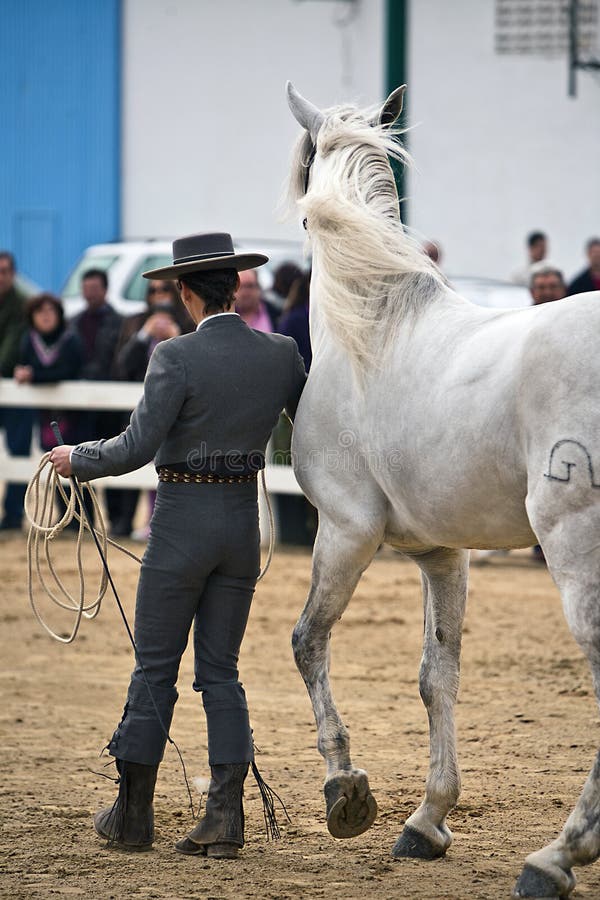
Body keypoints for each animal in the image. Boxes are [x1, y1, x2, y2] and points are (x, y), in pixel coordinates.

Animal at [285, 81, 600, 900]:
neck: (372, 324)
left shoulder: (345, 532)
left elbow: (308, 641)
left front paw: (346, 792)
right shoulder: (441, 555)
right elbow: (438, 678)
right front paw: (427, 821)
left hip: (573, 549)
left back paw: (557, 857)